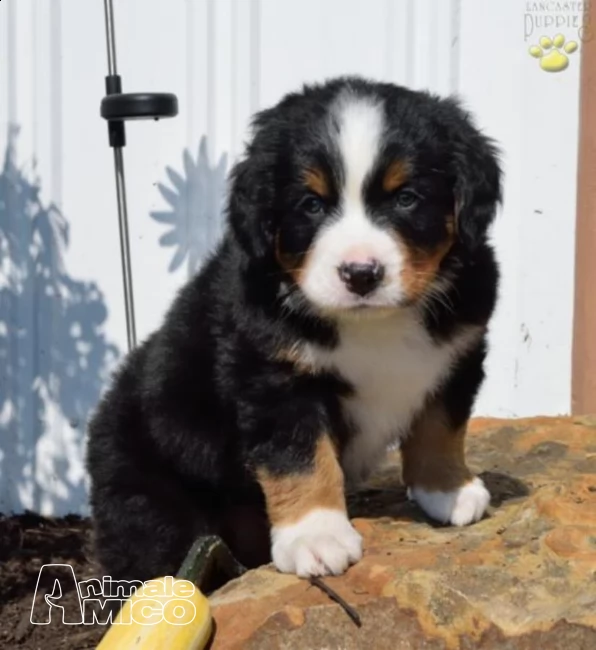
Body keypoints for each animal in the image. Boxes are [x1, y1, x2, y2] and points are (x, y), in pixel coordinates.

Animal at [86, 74, 500, 576]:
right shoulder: (274, 378)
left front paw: (448, 489)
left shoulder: (461, 351)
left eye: (407, 198)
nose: (361, 273)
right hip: (153, 509)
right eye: (311, 205)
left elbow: (441, 425)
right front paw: (316, 536)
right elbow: (301, 458)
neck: (373, 325)